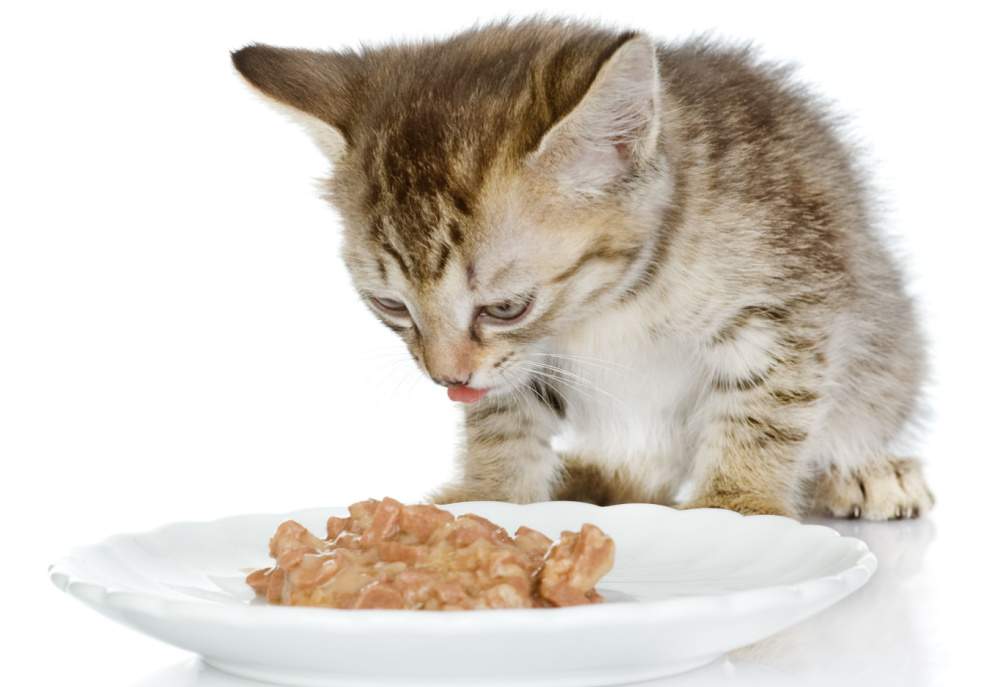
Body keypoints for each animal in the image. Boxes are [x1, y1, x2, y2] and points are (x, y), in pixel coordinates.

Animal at [230, 16, 932, 520]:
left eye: (506, 306)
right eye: (392, 307)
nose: (447, 380)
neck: (620, 298)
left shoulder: (789, 291)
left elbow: (768, 405)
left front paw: (739, 506)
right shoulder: (521, 363)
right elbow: (505, 414)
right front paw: (491, 496)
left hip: (885, 337)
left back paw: (866, 469)